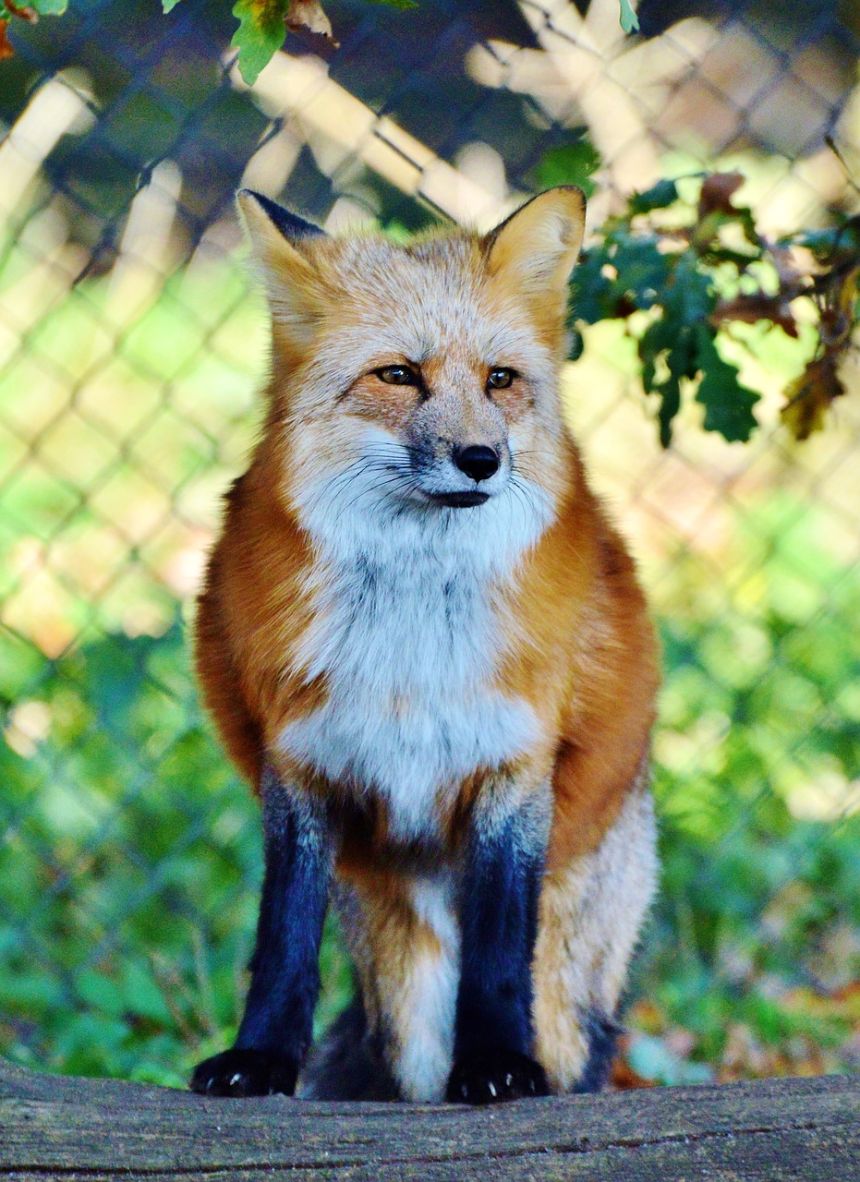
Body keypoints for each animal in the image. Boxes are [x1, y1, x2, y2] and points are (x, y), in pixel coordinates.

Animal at [190, 184, 656, 1106]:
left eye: (500, 380)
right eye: (398, 375)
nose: (481, 459)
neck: (409, 646)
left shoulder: (514, 766)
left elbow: (500, 955)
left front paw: (499, 1066)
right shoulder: (300, 762)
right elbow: (281, 944)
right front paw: (259, 1060)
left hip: (566, 980)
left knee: (577, 1048)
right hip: (404, 986)